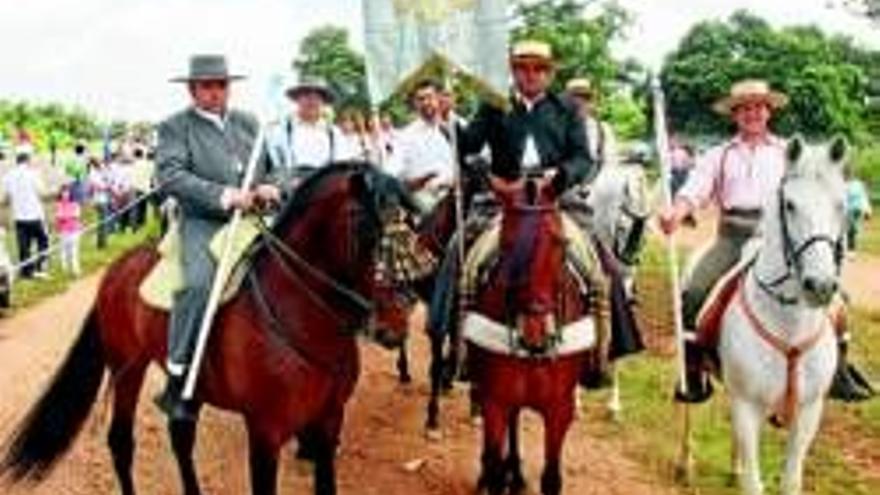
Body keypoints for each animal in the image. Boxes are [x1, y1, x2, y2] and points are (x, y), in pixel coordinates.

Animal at [0, 164, 422, 495]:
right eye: (364, 227)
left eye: (413, 227)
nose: (395, 322)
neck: (299, 317)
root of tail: (118, 268)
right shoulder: (266, 432)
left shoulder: (329, 423)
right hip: (127, 368)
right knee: (121, 442)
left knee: (180, 437)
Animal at [468, 178, 592, 495]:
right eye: (506, 245)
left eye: (560, 242)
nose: (535, 337)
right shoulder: (495, 401)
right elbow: (495, 472)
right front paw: (494, 473)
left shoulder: (559, 409)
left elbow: (551, 479)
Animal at [720, 137, 844, 495]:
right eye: (789, 205)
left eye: (840, 205)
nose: (820, 285)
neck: (789, 329)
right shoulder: (747, 406)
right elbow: (753, 484)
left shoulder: (809, 412)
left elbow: (791, 481)